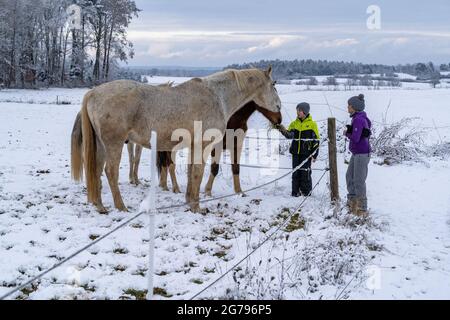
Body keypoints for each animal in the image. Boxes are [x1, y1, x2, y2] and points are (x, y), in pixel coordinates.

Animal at [70, 67, 282, 212]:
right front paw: (197, 206)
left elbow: (191, 172)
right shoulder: (204, 146)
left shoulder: (193, 146)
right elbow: (198, 172)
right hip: (114, 144)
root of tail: (93, 93)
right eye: (273, 84)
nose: (279, 110)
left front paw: (188, 200)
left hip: (101, 145)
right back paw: (121, 206)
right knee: (110, 172)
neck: (217, 96)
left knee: (96, 170)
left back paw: (100, 206)